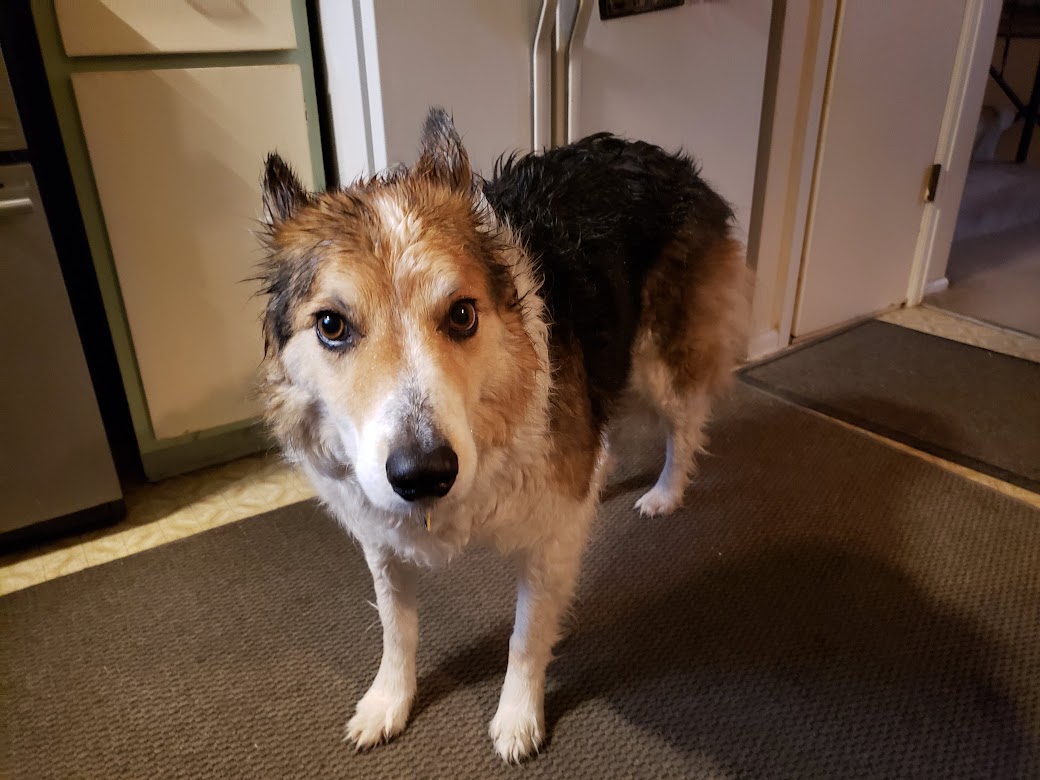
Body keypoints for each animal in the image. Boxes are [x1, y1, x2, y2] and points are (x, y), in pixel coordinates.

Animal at [256, 107, 751, 762]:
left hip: (657, 363)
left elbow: (526, 636)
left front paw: (517, 718)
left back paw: (666, 493)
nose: (423, 474)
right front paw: (388, 702)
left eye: (463, 314)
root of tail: (667, 158)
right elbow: (396, 627)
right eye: (332, 325)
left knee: (686, 424)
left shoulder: (550, 539)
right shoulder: (379, 536)